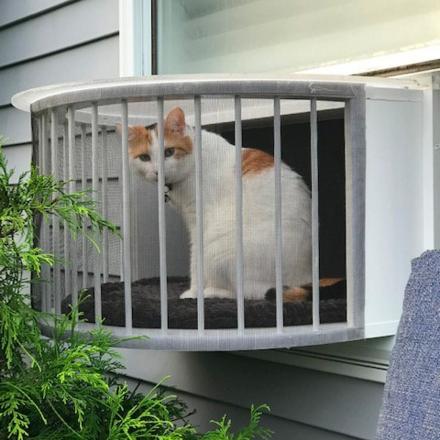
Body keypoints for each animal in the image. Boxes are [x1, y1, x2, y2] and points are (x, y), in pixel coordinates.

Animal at [122, 106, 312, 300]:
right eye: (144, 157)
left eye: (169, 152)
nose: (157, 172)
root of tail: (306, 277)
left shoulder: (199, 221)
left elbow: (195, 262)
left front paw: (193, 293)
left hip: (219, 246)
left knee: (248, 292)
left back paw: (211, 291)